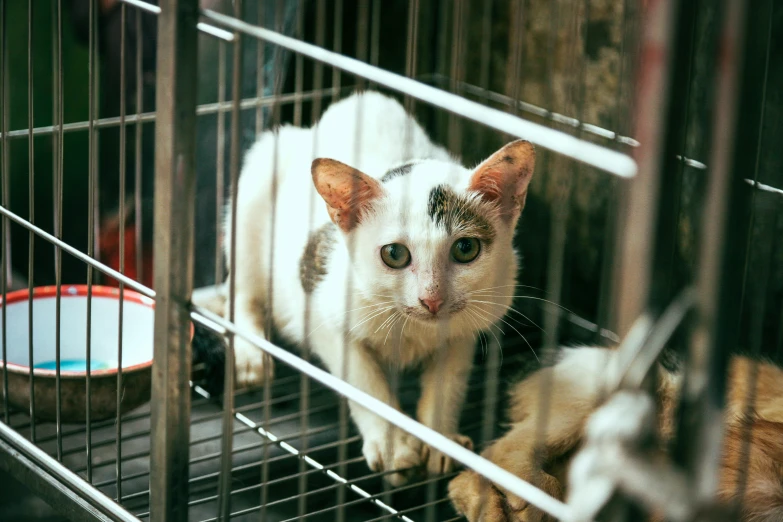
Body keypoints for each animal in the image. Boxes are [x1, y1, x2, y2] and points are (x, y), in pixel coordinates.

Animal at [224, 90, 536, 484]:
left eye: (466, 249)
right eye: (394, 254)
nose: (432, 299)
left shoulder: (467, 325)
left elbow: (448, 382)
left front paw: (440, 440)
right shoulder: (318, 306)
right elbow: (364, 382)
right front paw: (393, 448)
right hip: (255, 186)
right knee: (240, 290)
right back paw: (249, 354)